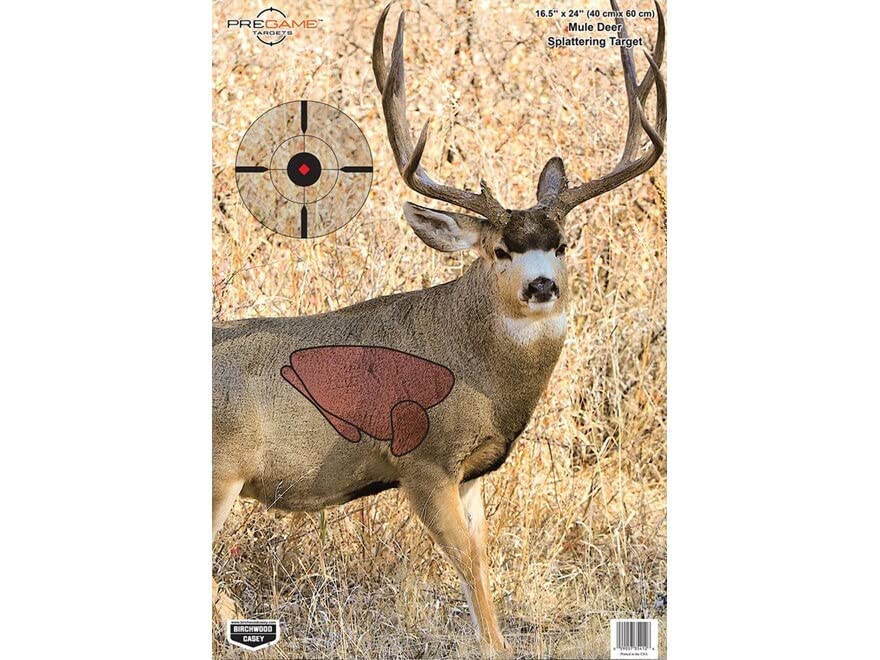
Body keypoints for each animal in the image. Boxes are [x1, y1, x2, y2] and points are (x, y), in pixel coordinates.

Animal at [213, 0, 665, 653]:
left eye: (561, 244)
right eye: (501, 250)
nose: (541, 286)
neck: (479, 373)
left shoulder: (472, 474)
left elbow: (484, 569)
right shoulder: (423, 462)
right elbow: (469, 569)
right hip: (219, 474)